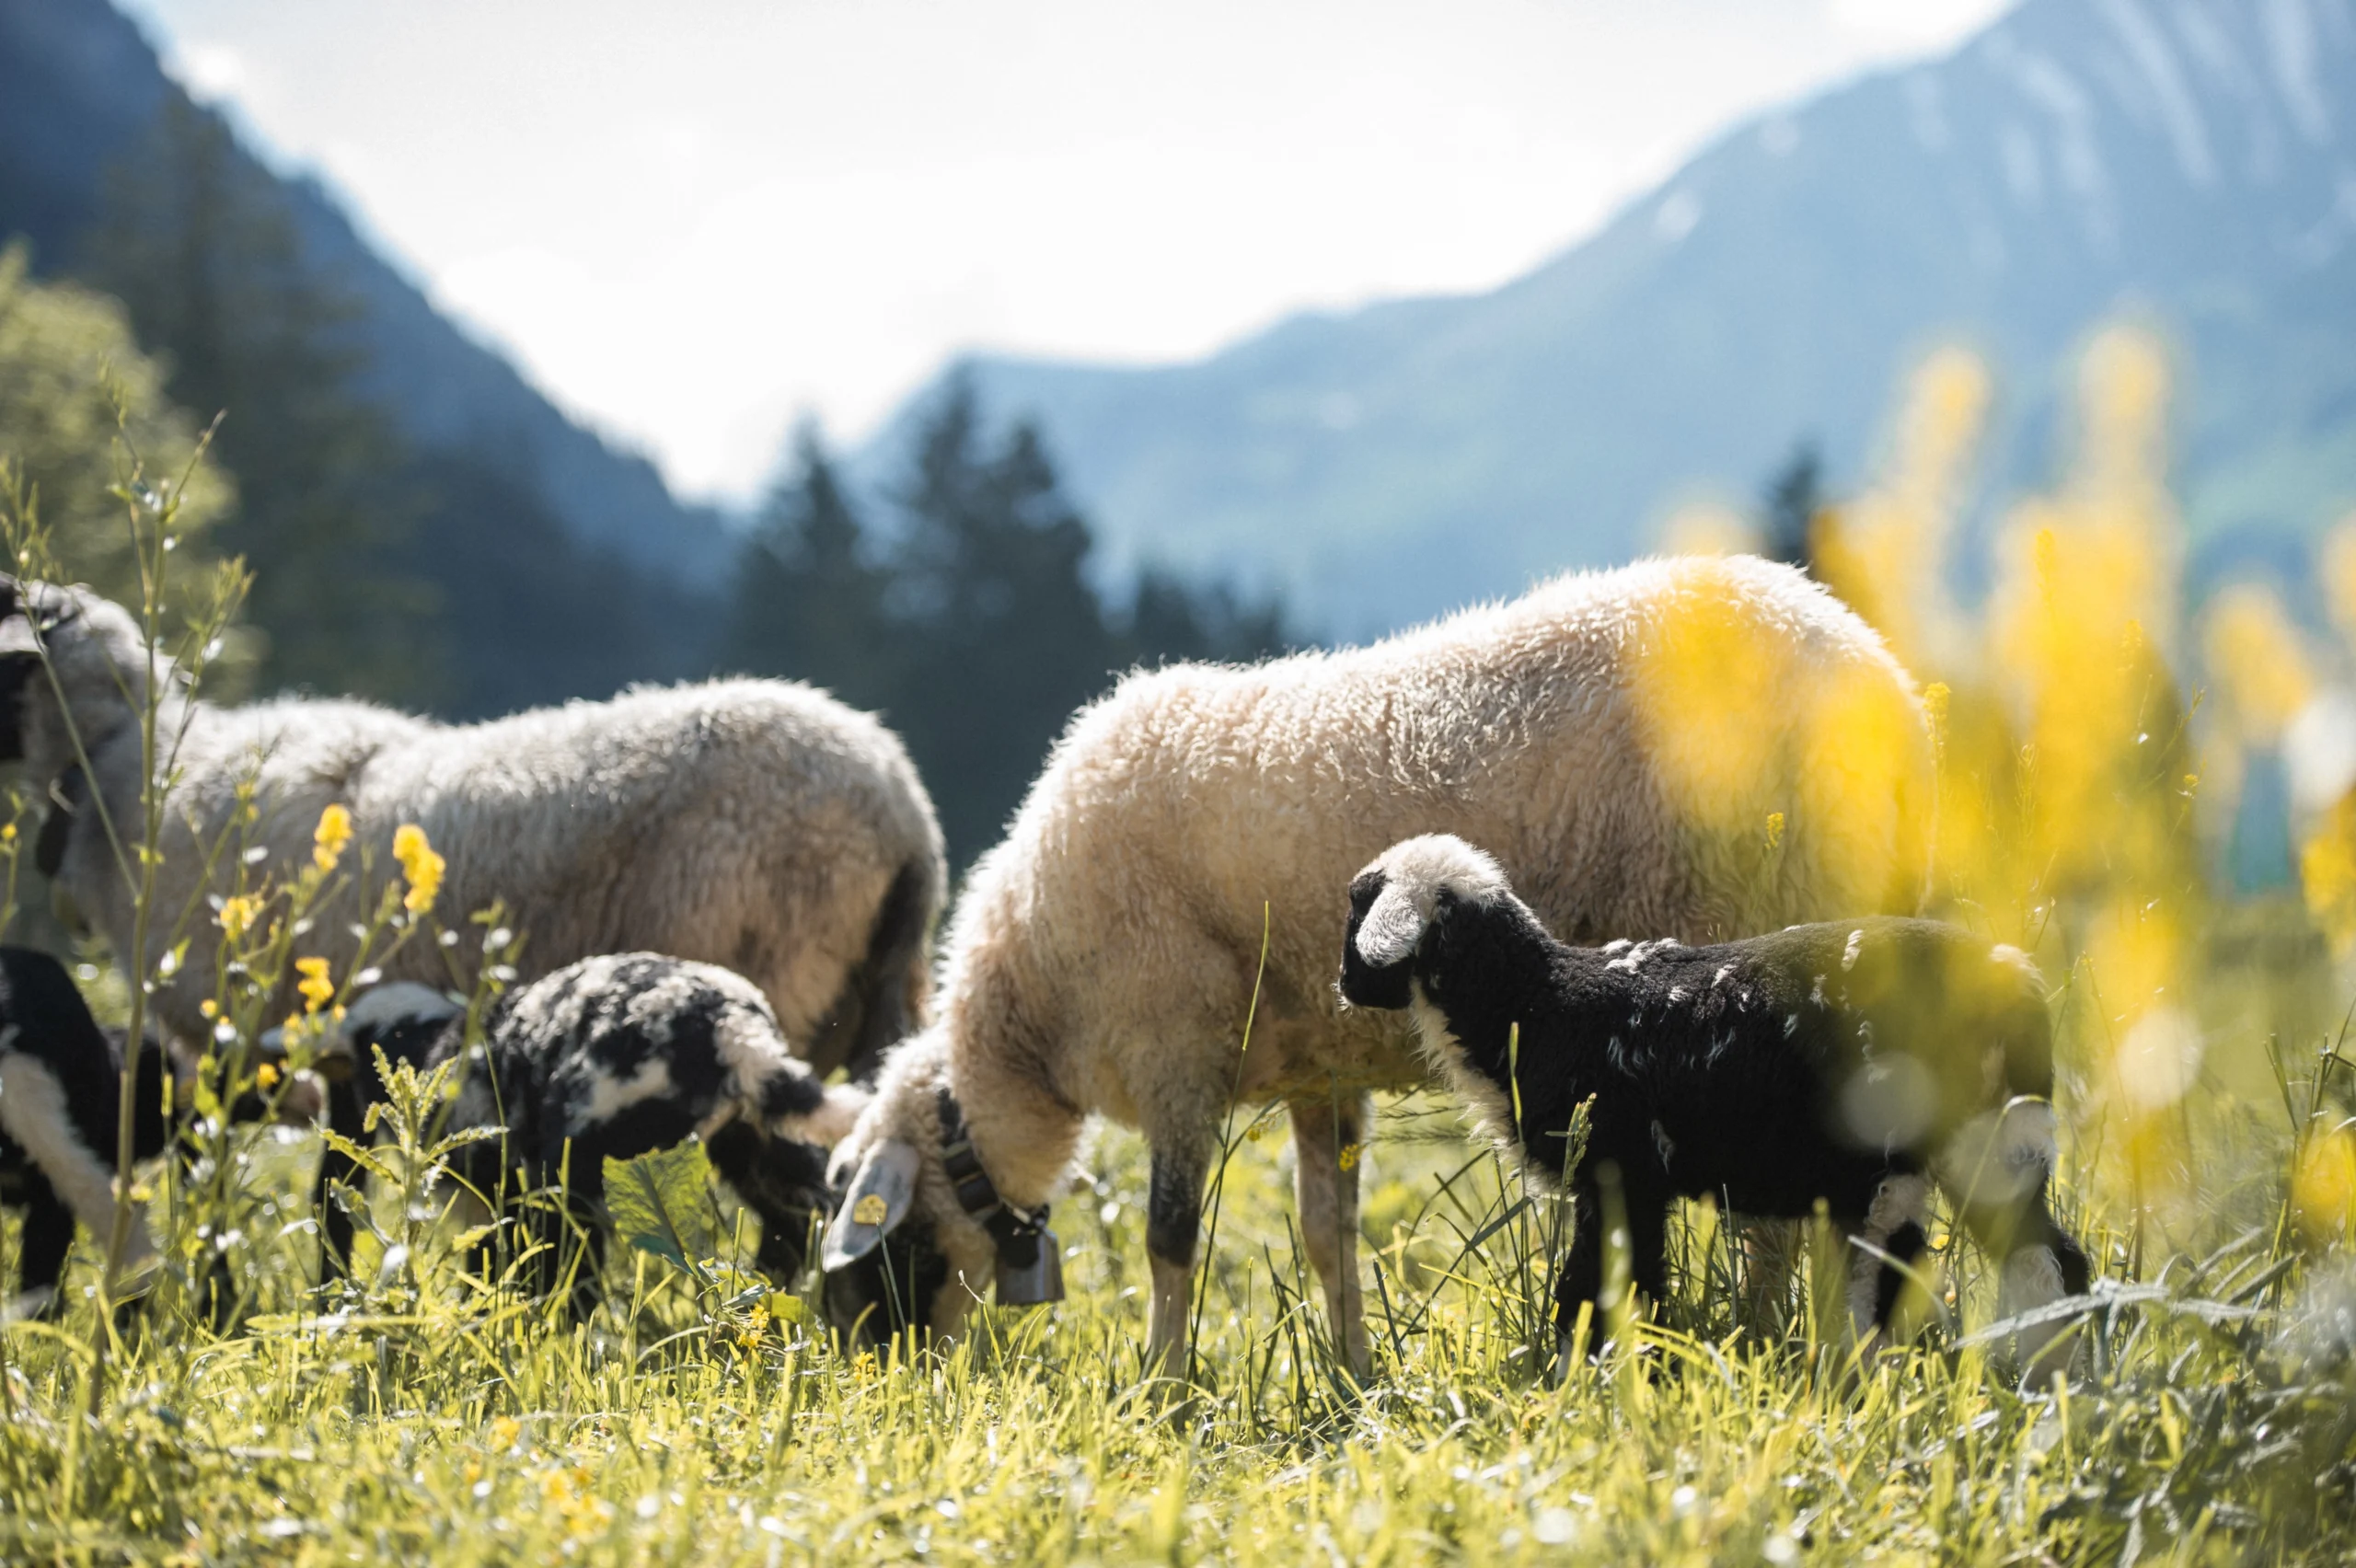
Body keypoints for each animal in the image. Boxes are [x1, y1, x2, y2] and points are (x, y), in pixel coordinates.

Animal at [825, 553, 1932, 1384]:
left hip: (1753, 930)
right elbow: (1330, 1234)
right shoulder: (1321, 1070)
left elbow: (1168, 1237)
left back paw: (1760, 1337)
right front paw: (1354, 1373)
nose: (895, 1372)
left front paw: (1162, 1387)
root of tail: (1885, 685)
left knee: (1771, 1213)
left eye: (888, 1242)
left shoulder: (1172, 1044)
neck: (1034, 1004)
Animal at [1338, 824, 2092, 1375]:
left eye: (1355, 905)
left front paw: (1595, 1380)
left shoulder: (1618, 1170)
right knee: (2035, 1260)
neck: (1536, 1003)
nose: (1342, 985)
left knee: (1926, 1276)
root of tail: (2012, 976)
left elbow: (1602, 1288)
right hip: (1972, 1144)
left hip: (1925, 1147)